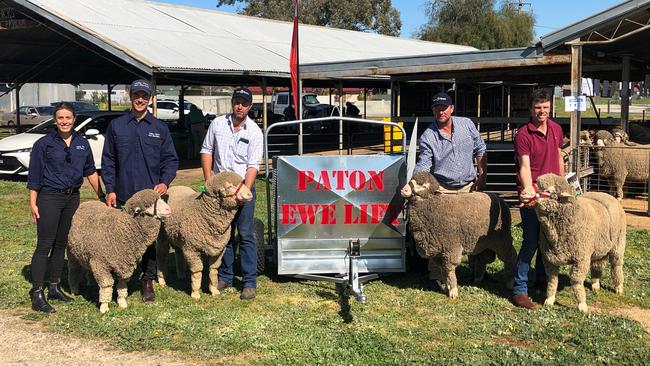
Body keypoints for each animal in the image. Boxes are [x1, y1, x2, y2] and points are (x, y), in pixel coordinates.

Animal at [528, 174, 624, 312]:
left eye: (549, 191)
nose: (527, 193)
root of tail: (606, 194)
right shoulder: (549, 259)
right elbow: (552, 280)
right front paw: (549, 299)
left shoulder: (581, 258)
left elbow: (576, 280)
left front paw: (582, 304)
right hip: (599, 247)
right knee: (597, 265)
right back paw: (595, 285)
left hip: (618, 244)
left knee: (616, 265)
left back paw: (618, 287)